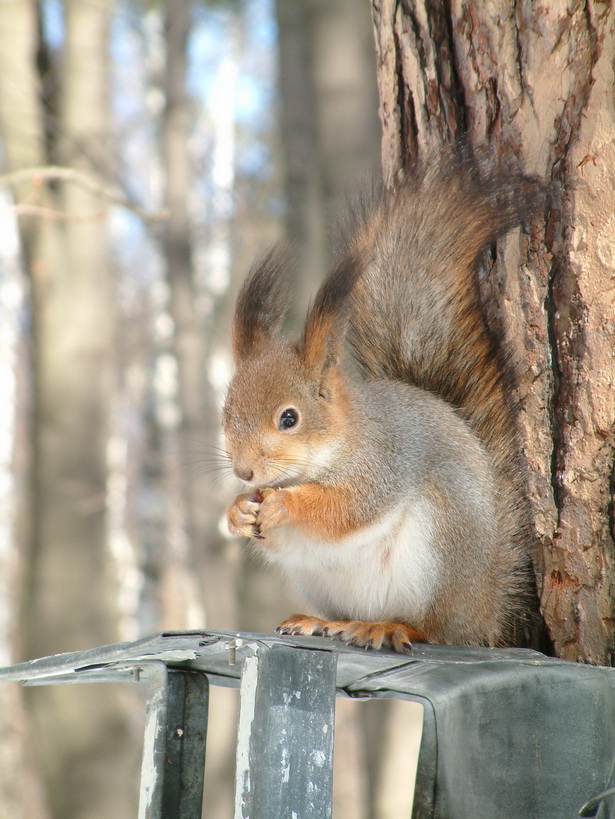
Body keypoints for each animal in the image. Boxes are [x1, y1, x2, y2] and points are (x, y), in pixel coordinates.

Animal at [223, 152, 544, 652]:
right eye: (226, 412)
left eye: (289, 418)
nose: (244, 471)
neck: (334, 443)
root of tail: (484, 610)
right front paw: (238, 510)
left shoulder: (383, 462)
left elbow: (347, 509)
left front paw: (286, 505)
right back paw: (321, 621)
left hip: (438, 549)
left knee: (436, 628)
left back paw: (391, 626)